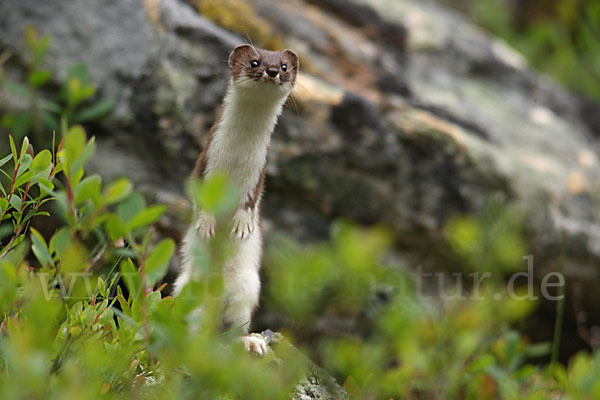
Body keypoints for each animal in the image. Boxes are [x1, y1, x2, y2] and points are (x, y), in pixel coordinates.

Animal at [172, 45, 298, 354]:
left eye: (284, 66)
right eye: (254, 62)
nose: (272, 71)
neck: (236, 161)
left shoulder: (259, 175)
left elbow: (250, 203)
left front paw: (242, 226)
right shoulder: (203, 164)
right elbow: (199, 199)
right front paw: (206, 225)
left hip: (247, 288)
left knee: (232, 326)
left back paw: (249, 341)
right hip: (186, 287)